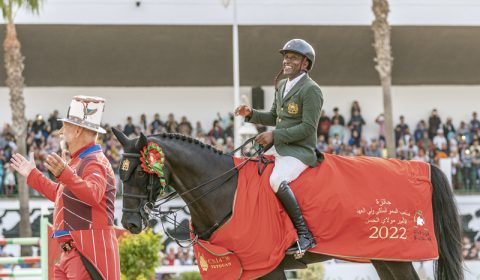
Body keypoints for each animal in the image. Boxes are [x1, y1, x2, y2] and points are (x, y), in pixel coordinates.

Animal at [112, 127, 464, 280]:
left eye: (140, 173)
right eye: (119, 171)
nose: (130, 223)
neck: (224, 187)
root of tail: (423, 167)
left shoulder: (265, 266)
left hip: (399, 257)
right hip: (385, 257)